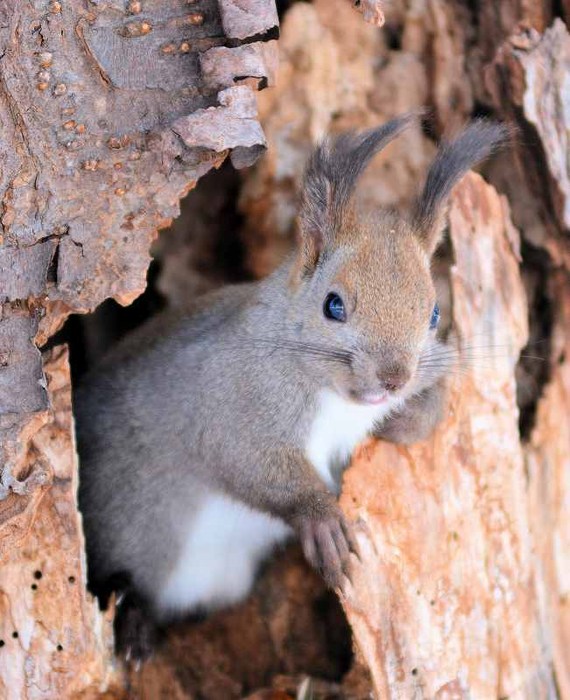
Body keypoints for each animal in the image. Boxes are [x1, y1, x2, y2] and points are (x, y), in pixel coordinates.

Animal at [73, 113, 504, 656]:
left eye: (434, 314)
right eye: (333, 305)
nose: (393, 378)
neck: (339, 401)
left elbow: (437, 400)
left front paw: (406, 419)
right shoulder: (227, 402)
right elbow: (250, 462)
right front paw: (321, 520)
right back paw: (133, 623)